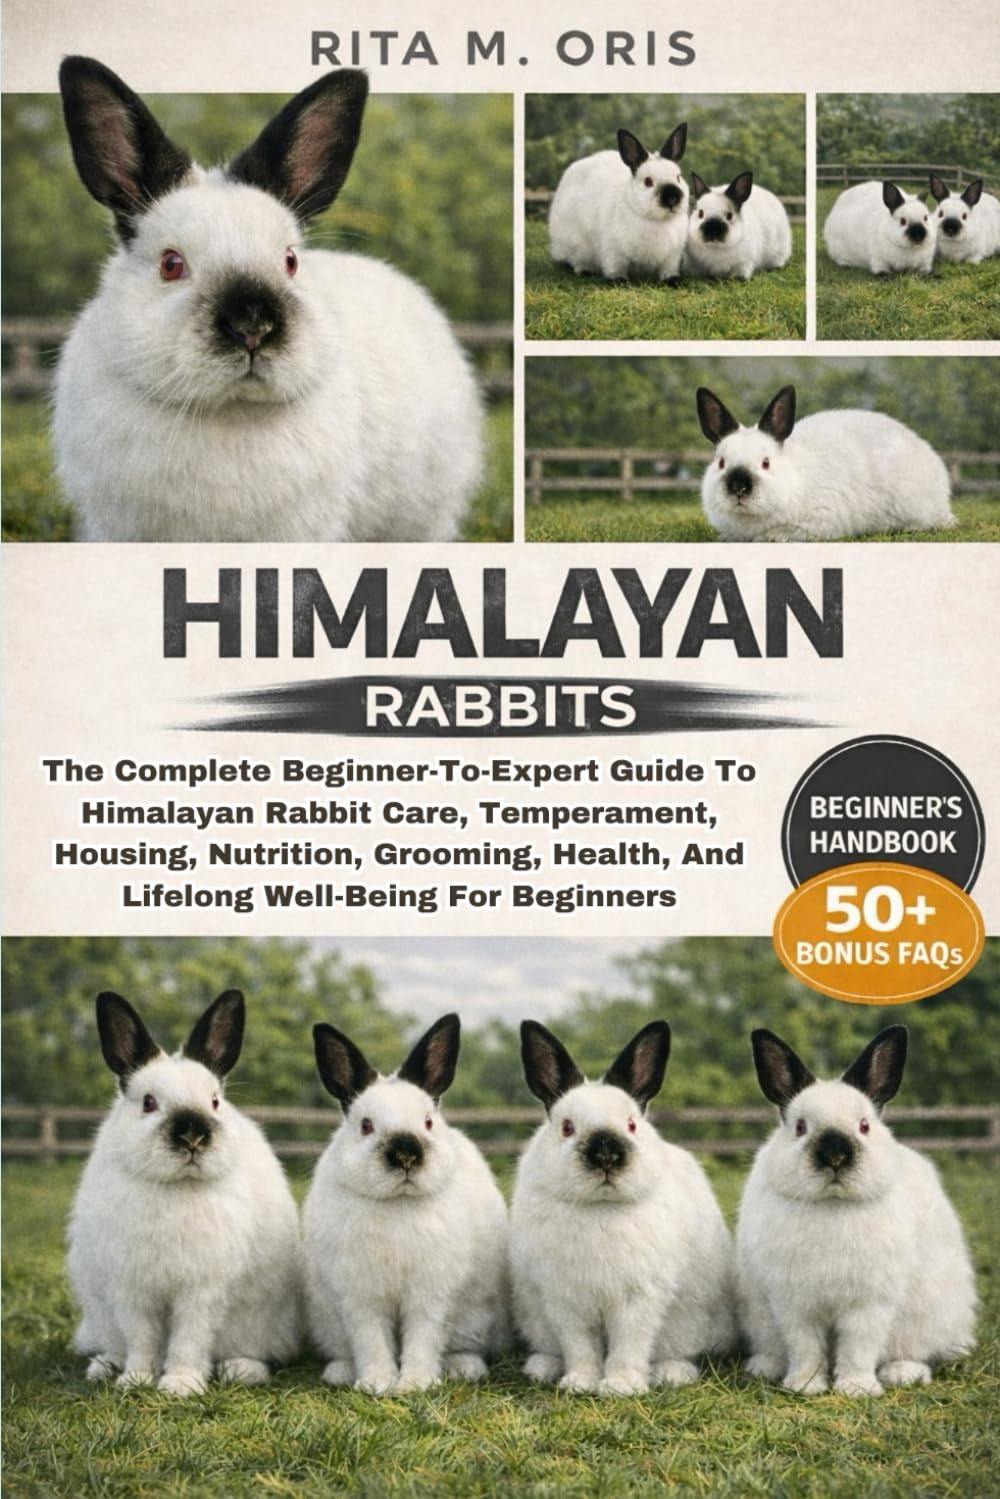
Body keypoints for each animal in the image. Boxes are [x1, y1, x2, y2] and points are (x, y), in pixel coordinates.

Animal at [67, 990, 301, 1396]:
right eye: (148, 1102)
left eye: (214, 1101)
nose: (192, 1135)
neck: (177, 1186)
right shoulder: (132, 1289)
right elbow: (141, 1338)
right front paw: (136, 1380)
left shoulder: (202, 1290)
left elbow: (189, 1339)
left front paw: (180, 1385)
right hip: (101, 1314)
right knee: (116, 1343)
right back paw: (105, 1366)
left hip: (261, 1323)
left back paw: (242, 1369)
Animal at [302, 1013, 509, 1394]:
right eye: (366, 1125)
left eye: (427, 1121)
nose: (405, 1154)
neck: (397, 1201)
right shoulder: (360, 1298)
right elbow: (371, 1341)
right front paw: (376, 1384)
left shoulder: (430, 1295)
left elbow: (423, 1339)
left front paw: (415, 1384)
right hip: (327, 1321)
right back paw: (340, 1372)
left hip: (475, 1316)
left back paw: (464, 1368)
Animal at [510, 1020, 736, 1396]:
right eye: (567, 1127)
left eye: (631, 1124)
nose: (606, 1156)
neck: (601, 1207)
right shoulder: (566, 1302)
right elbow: (580, 1346)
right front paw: (579, 1383)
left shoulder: (638, 1300)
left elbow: (629, 1345)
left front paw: (620, 1386)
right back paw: (543, 1368)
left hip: (688, 1326)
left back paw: (671, 1374)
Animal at [548, 124, 689, 283]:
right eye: (648, 182)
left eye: (678, 177)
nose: (672, 198)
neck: (655, 220)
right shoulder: (614, 251)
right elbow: (615, 268)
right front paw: (619, 281)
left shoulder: (672, 256)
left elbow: (668, 271)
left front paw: (673, 281)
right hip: (577, 246)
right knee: (577, 261)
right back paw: (585, 271)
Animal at [737, 1026, 976, 1396]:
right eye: (800, 1127)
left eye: (864, 1126)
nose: (835, 1157)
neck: (833, 1205)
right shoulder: (794, 1305)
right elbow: (805, 1346)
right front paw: (805, 1386)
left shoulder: (868, 1304)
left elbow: (858, 1346)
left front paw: (856, 1388)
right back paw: (765, 1367)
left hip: (926, 1319)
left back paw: (902, 1373)